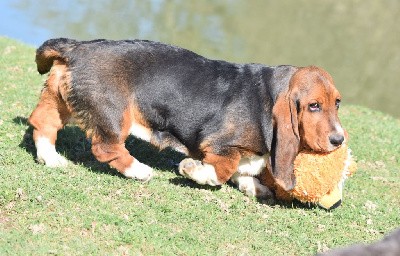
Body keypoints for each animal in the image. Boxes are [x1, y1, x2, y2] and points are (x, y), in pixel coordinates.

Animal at [29, 38, 346, 197]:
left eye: (338, 103)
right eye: (313, 106)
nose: (339, 140)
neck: (267, 97)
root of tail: (78, 47)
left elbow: (243, 171)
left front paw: (255, 188)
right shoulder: (221, 146)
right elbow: (222, 171)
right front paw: (194, 171)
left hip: (61, 102)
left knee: (42, 123)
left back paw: (51, 158)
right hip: (114, 116)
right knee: (106, 148)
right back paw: (140, 170)